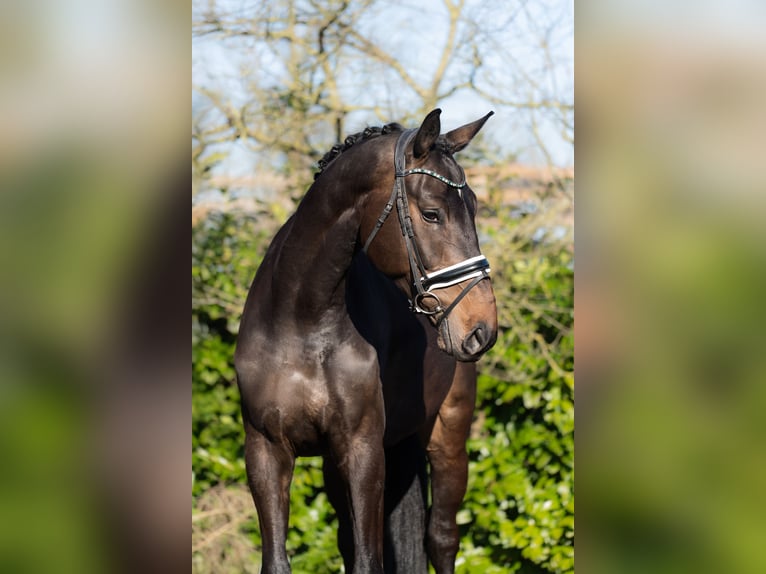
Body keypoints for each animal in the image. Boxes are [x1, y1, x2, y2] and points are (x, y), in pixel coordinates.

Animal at [234, 108, 498, 574]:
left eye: (474, 207)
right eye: (432, 214)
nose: (482, 327)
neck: (302, 323)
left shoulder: (364, 452)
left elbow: (369, 560)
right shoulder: (266, 452)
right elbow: (278, 561)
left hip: (448, 439)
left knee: (442, 538)